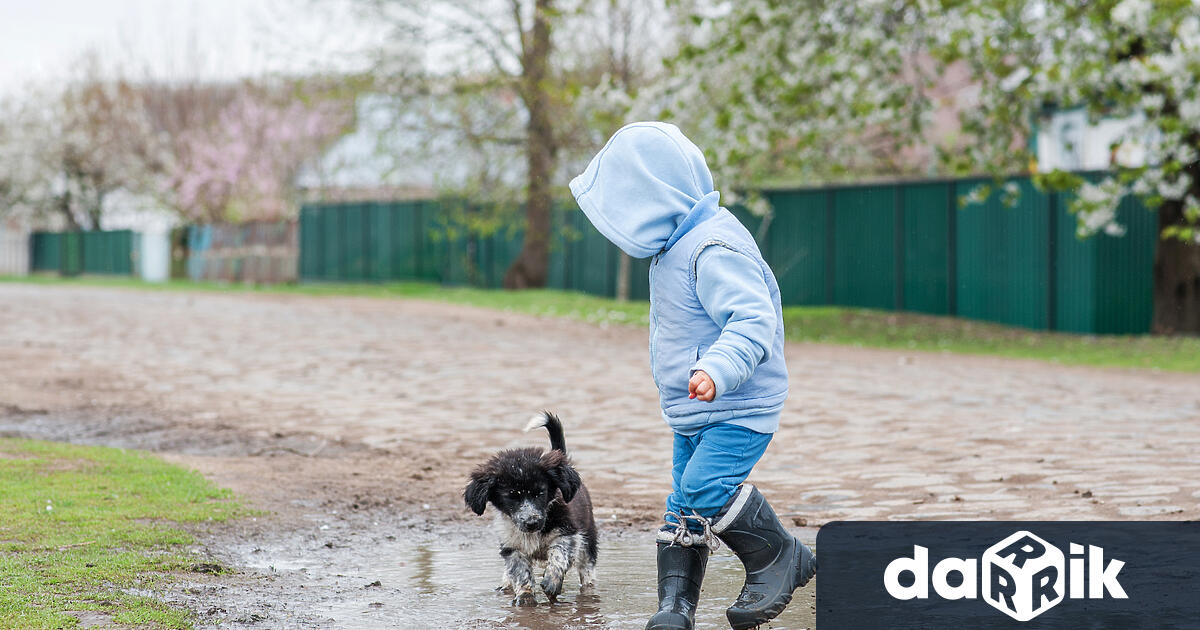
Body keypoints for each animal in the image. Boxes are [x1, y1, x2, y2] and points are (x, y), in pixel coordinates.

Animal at [465, 412, 600, 604]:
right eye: (511, 496)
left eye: (540, 493)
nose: (532, 522)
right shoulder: (511, 546)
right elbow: (520, 572)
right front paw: (525, 598)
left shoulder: (569, 532)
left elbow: (558, 554)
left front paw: (552, 581)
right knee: (509, 573)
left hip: (588, 539)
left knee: (587, 569)